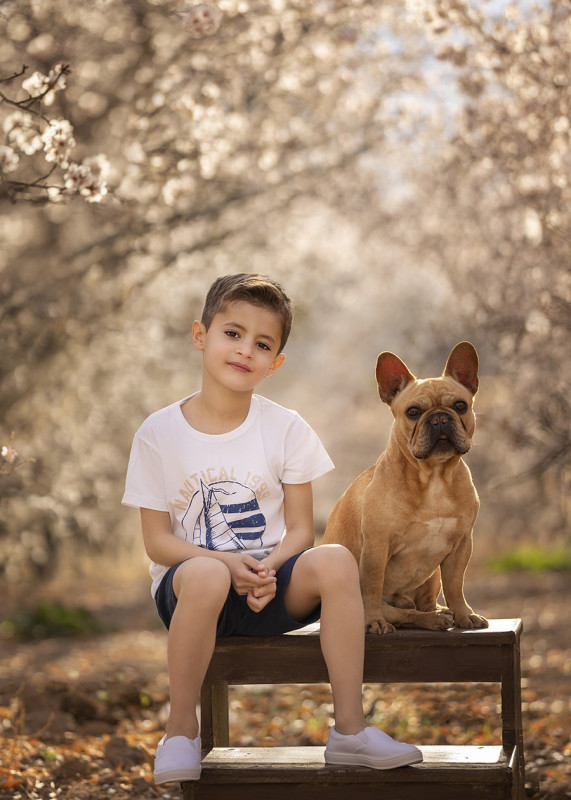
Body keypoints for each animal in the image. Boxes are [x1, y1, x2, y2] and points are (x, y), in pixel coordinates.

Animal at [324, 340, 490, 636]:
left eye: (460, 406)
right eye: (413, 412)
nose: (439, 418)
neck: (434, 476)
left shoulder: (461, 544)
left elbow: (455, 585)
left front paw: (464, 614)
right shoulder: (376, 547)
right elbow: (372, 587)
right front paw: (373, 621)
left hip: (432, 577)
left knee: (423, 602)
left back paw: (440, 613)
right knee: (401, 613)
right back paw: (427, 619)